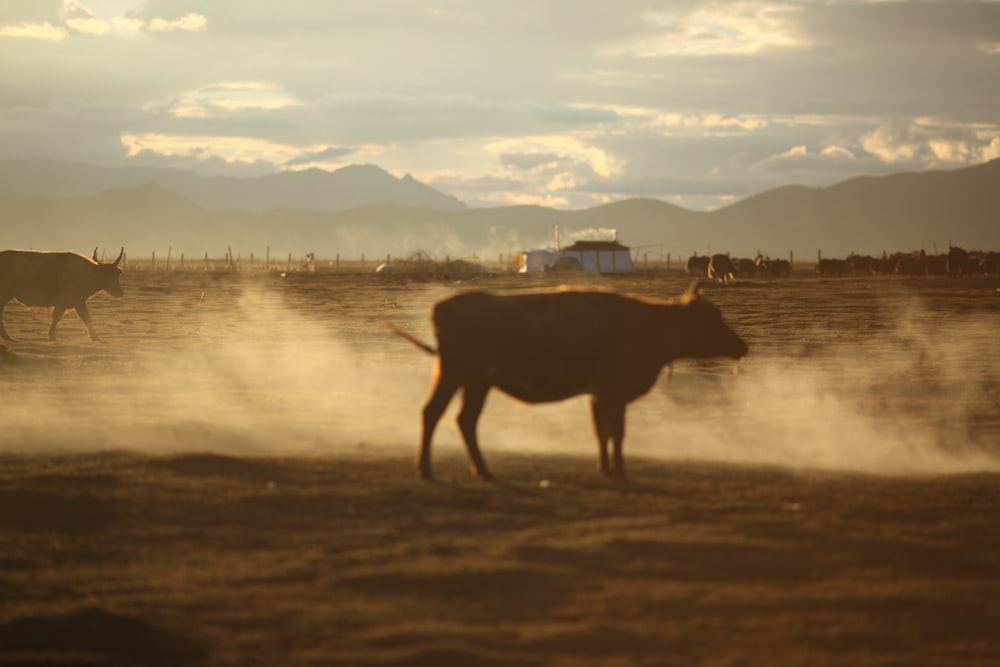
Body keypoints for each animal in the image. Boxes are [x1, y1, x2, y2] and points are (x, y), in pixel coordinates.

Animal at [386, 284, 748, 480]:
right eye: (712, 318)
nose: (743, 347)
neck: (649, 322)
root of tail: (442, 306)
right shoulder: (614, 394)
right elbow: (616, 432)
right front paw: (620, 472)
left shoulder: (598, 395)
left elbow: (601, 432)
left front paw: (605, 469)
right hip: (470, 379)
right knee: (459, 418)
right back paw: (478, 472)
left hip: (461, 379)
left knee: (438, 415)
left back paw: (431, 470)